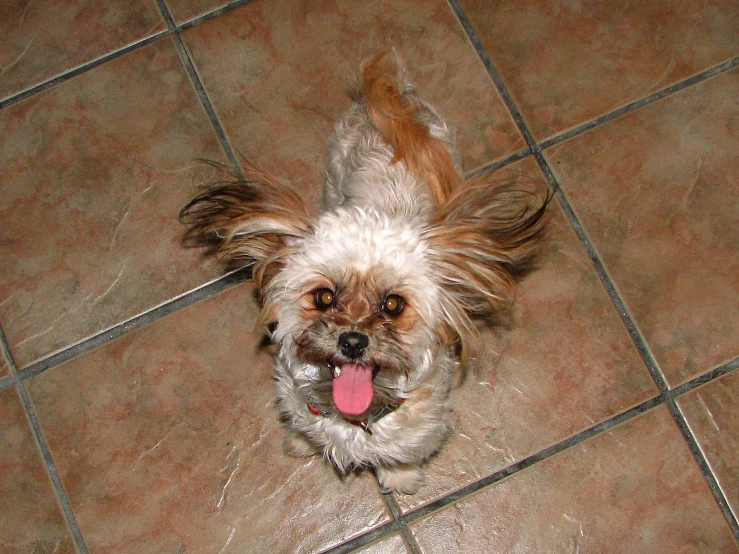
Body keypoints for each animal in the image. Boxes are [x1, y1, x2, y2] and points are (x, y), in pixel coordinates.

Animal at [179, 51, 548, 492]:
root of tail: (392, 100)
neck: (355, 416)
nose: (353, 341)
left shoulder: (420, 428)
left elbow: (401, 455)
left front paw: (400, 478)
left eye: (393, 304)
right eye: (323, 297)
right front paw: (301, 443)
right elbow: (305, 427)